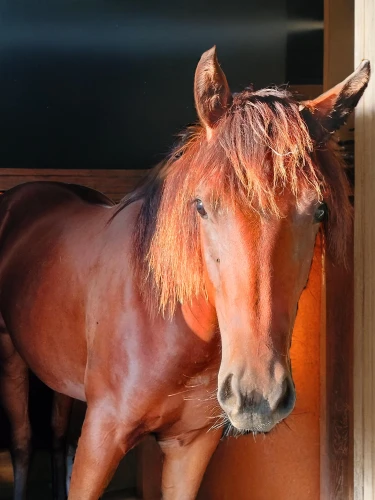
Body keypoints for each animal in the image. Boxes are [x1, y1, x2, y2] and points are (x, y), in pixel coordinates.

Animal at [0, 47, 370, 500]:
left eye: (319, 210)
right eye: (201, 206)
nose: (257, 396)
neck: (166, 323)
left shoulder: (190, 448)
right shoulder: (100, 438)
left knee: (54, 436)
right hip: (11, 360)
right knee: (22, 444)